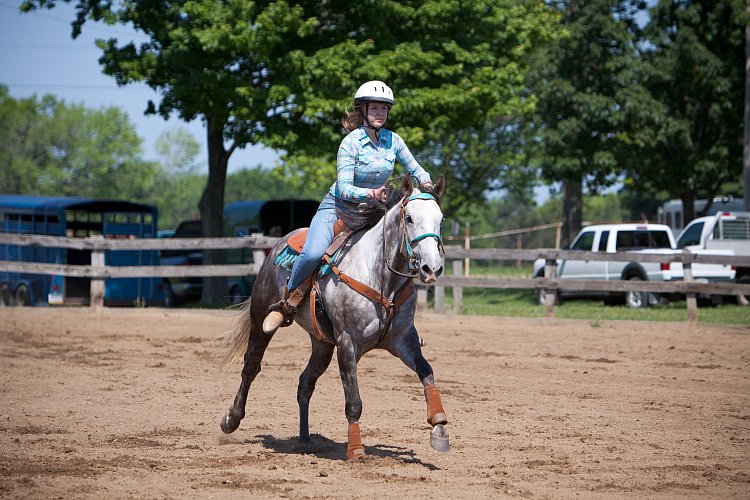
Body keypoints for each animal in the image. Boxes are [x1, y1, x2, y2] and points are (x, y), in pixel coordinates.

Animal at [220, 176, 450, 460]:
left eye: (440, 219)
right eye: (408, 218)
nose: (432, 268)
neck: (381, 278)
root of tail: (277, 244)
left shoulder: (403, 341)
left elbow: (427, 374)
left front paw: (439, 429)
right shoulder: (348, 344)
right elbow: (354, 402)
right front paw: (356, 450)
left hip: (321, 343)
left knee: (305, 382)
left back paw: (305, 439)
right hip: (261, 318)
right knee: (251, 365)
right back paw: (231, 420)